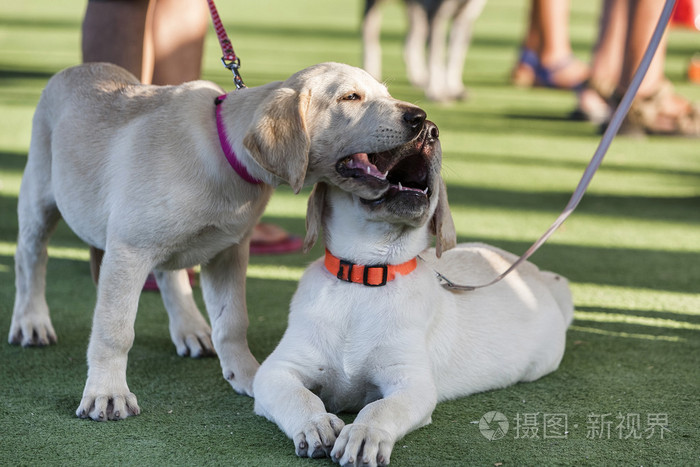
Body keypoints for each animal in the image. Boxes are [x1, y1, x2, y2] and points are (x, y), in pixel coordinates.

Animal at [254, 116, 572, 464]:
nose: (429, 129)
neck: (365, 275)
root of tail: (536, 275)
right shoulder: (276, 371)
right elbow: (299, 397)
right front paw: (315, 423)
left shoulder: (411, 382)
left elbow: (380, 408)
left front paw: (364, 433)